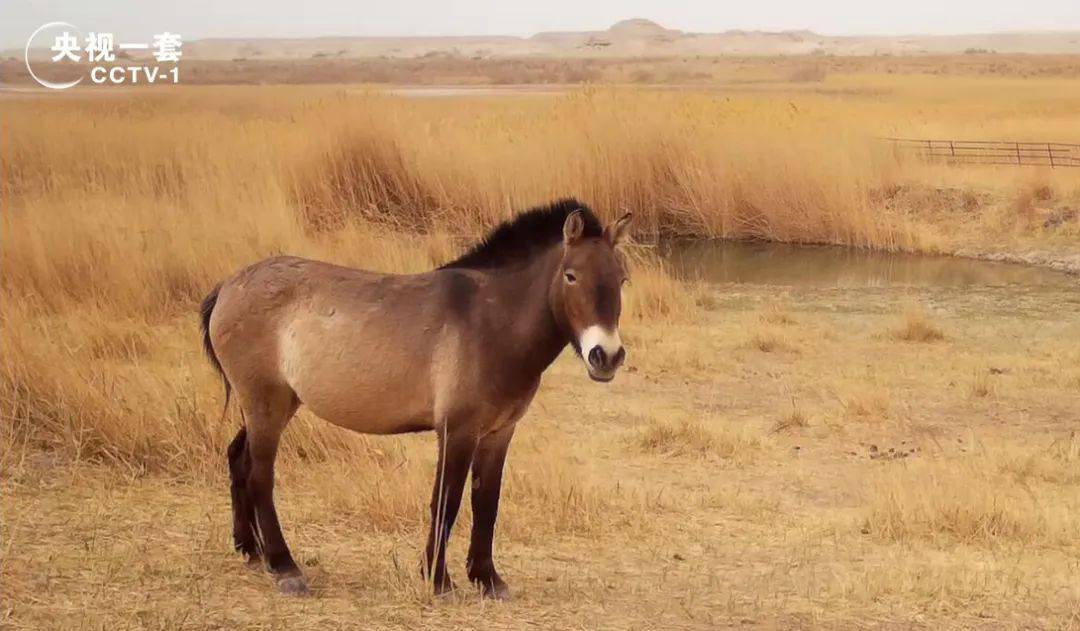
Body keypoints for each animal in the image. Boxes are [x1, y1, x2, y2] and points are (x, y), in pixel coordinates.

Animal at [200, 199, 630, 600]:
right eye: (571, 276)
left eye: (622, 279)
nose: (606, 356)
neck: (491, 320)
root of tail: (228, 286)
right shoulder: (457, 432)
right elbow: (447, 501)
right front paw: (438, 579)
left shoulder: (498, 434)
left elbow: (486, 503)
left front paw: (487, 579)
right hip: (266, 405)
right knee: (260, 475)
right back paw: (284, 567)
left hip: (274, 405)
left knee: (238, 459)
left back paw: (252, 551)